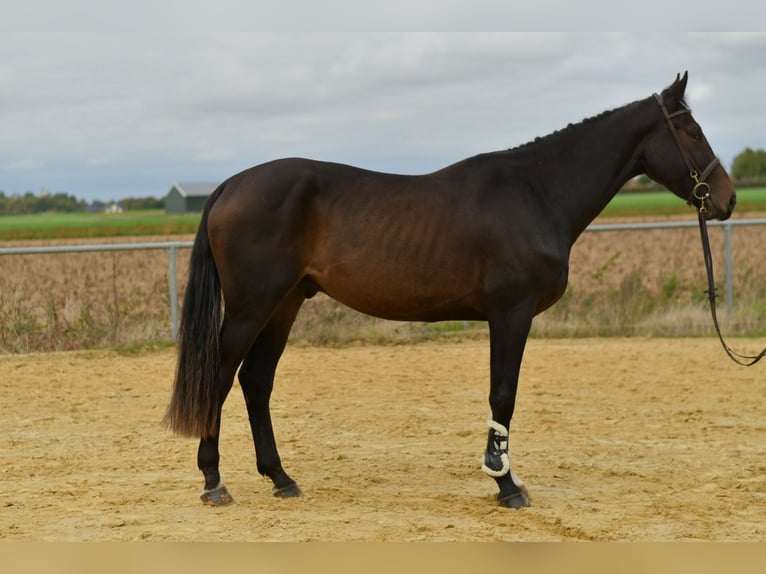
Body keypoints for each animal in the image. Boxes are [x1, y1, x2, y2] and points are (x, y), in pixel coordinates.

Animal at [163, 72, 736, 509]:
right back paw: (214, 481)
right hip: (250, 306)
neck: (535, 193)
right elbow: (503, 395)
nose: (726, 199)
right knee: (219, 376)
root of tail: (230, 185)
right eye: (692, 131)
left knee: (256, 381)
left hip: (284, 304)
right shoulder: (511, 314)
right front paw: (506, 486)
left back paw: (281, 478)